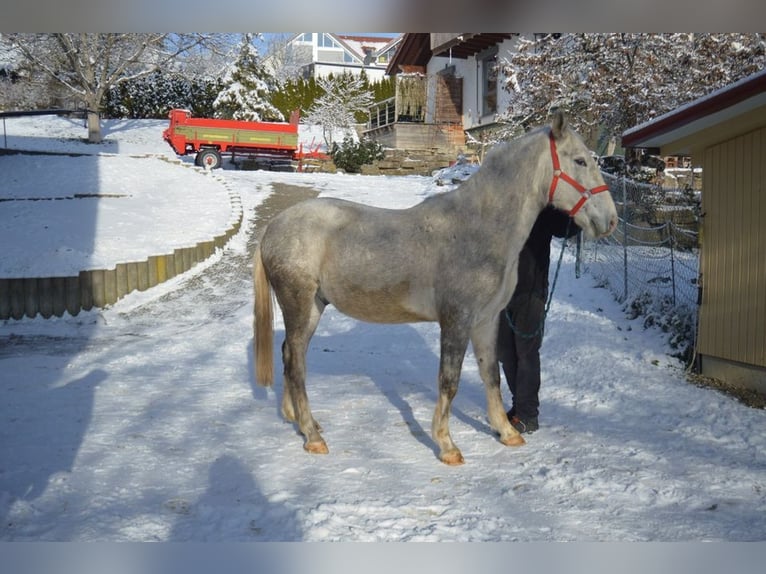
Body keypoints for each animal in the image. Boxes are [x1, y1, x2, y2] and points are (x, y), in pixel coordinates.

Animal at [255, 110, 620, 466]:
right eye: (580, 161)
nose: (610, 220)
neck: (479, 228)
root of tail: (274, 227)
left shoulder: (486, 321)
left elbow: (491, 374)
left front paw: (507, 432)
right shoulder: (456, 319)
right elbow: (449, 380)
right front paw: (447, 446)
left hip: (313, 308)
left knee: (291, 354)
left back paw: (301, 421)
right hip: (299, 304)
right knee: (295, 363)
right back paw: (312, 436)